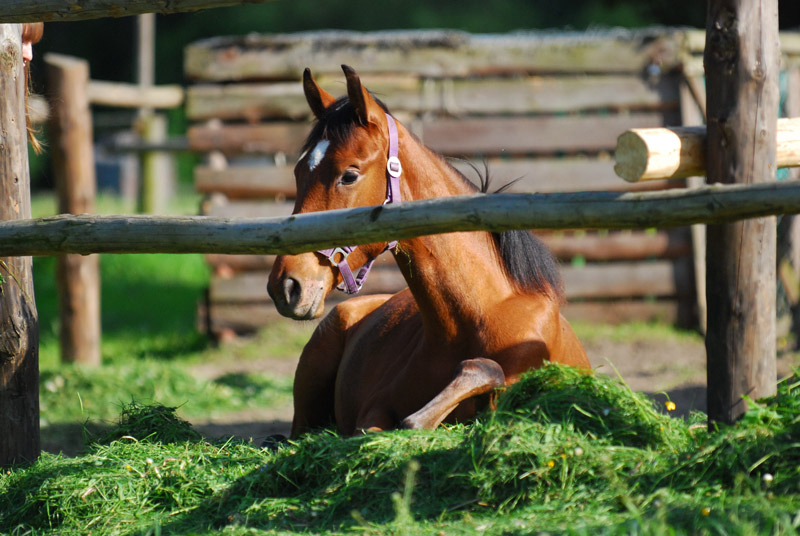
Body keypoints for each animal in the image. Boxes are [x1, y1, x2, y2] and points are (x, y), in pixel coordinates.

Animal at [268, 65, 588, 438]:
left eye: (349, 175)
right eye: (298, 171)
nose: (286, 286)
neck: (478, 317)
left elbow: (483, 373)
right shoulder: (372, 412)